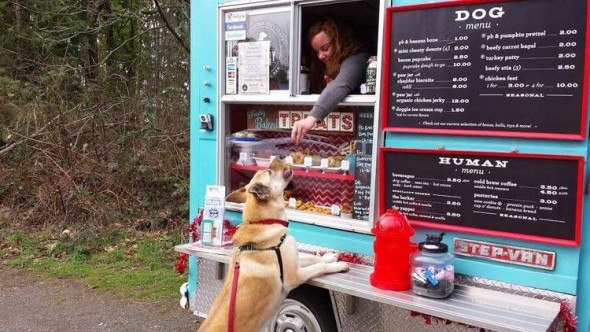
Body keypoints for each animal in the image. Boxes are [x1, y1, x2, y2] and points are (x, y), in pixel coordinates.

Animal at [199, 157, 352, 330]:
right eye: (270, 172)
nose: (278, 156)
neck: (264, 223)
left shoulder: (293, 258)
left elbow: (312, 258)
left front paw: (329, 257)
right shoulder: (295, 275)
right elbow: (319, 267)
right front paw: (338, 266)